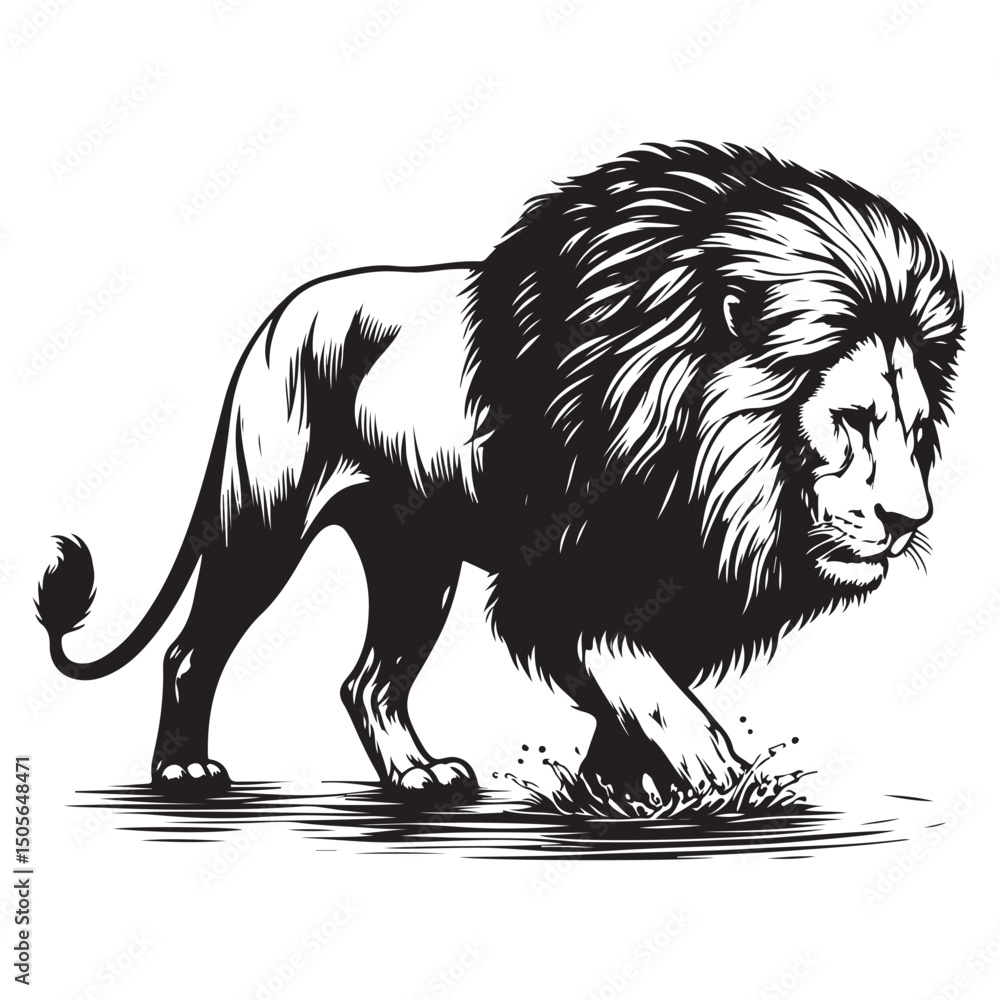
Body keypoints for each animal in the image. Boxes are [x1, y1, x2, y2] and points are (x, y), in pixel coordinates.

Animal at [36, 142, 963, 809]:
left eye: (919, 432)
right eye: (852, 420)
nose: (908, 522)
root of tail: (274, 321)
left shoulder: (678, 588)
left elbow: (630, 699)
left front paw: (613, 793)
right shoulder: (563, 574)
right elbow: (648, 688)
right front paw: (716, 775)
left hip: (416, 561)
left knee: (367, 682)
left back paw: (417, 776)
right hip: (263, 522)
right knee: (192, 651)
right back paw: (183, 772)